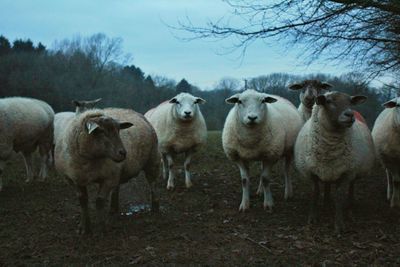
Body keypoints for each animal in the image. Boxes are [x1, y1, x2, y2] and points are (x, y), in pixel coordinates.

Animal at [294, 92, 376, 234]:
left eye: (350, 102)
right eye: (329, 101)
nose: (350, 114)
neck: (329, 148)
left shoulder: (347, 173)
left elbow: (339, 196)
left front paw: (339, 225)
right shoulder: (311, 171)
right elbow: (315, 192)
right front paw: (312, 218)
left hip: (353, 170)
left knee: (351, 187)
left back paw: (350, 206)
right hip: (327, 169)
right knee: (327, 185)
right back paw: (326, 203)